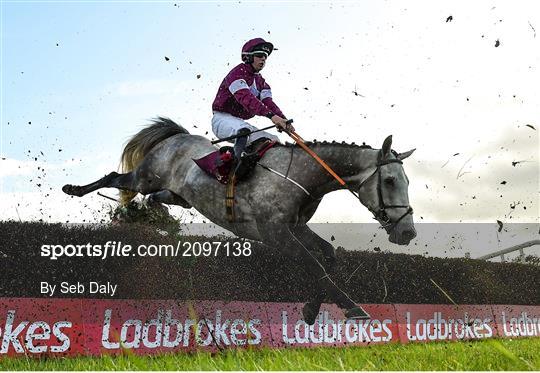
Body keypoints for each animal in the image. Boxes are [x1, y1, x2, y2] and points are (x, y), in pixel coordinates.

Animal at [63, 117, 418, 322]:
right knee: (115, 178)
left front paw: (311, 309)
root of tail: (176, 137)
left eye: (407, 181)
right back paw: (74, 189)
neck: (302, 175)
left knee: (156, 197)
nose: (408, 233)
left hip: (173, 192)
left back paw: (154, 212)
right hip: (145, 176)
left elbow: (327, 257)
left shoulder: (296, 228)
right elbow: (315, 266)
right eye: (389, 181)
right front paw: (352, 307)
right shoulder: (276, 235)